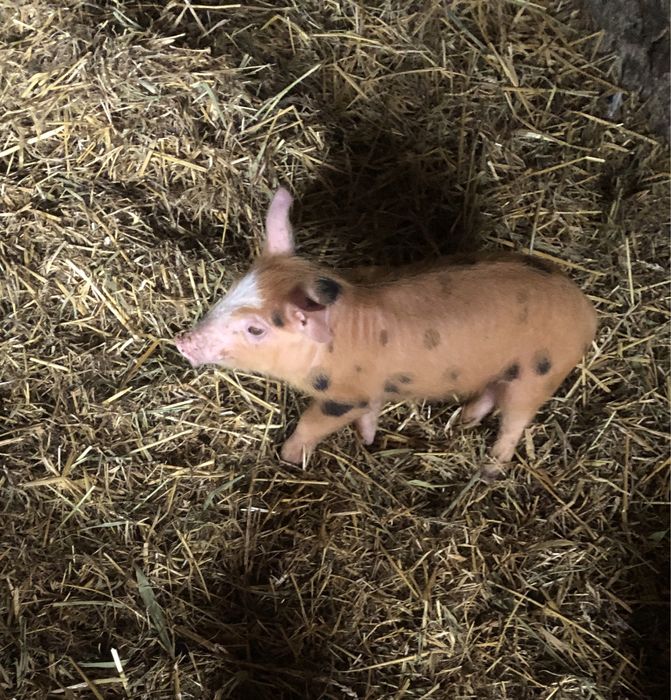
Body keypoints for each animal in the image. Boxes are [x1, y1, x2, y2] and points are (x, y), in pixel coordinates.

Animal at [174, 187, 597, 475]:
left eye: (255, 329)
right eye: (232, 288)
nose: (182, 342)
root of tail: (586, 309)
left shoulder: (345, 395)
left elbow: (312, 422)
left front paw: (288, 458)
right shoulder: (372, 391)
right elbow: (371, 414)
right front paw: (368, 440)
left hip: (539, 373)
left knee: (515, 421)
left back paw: (490, 468)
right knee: (492, 393)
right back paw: (464, 419)